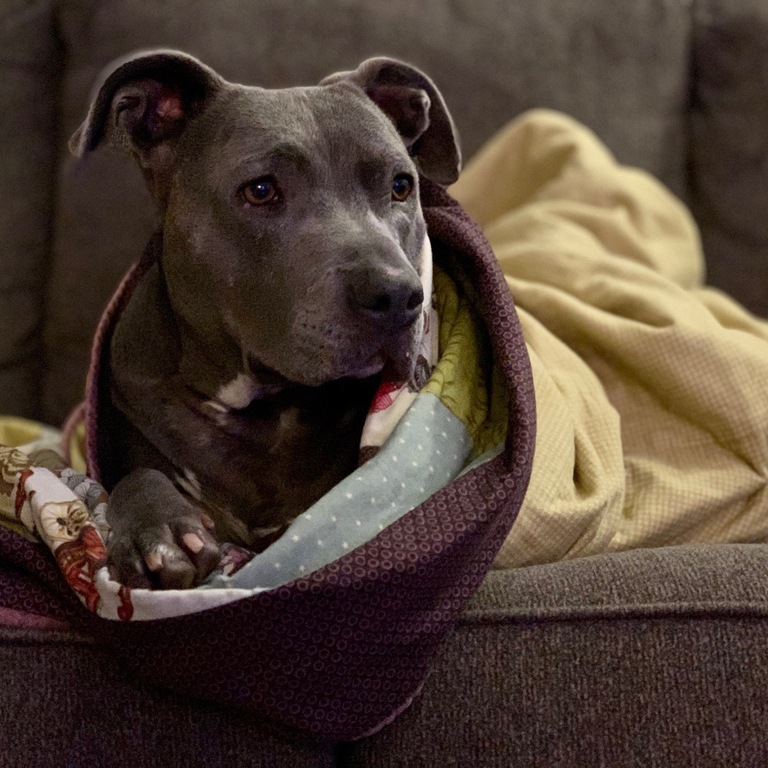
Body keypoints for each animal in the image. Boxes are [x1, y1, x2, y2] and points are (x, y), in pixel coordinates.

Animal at [72, 51, 460, 592]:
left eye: (402, 186)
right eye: (260, 190)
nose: (399, 295)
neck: (263, 408)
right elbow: (134, 477)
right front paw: (158, 527)